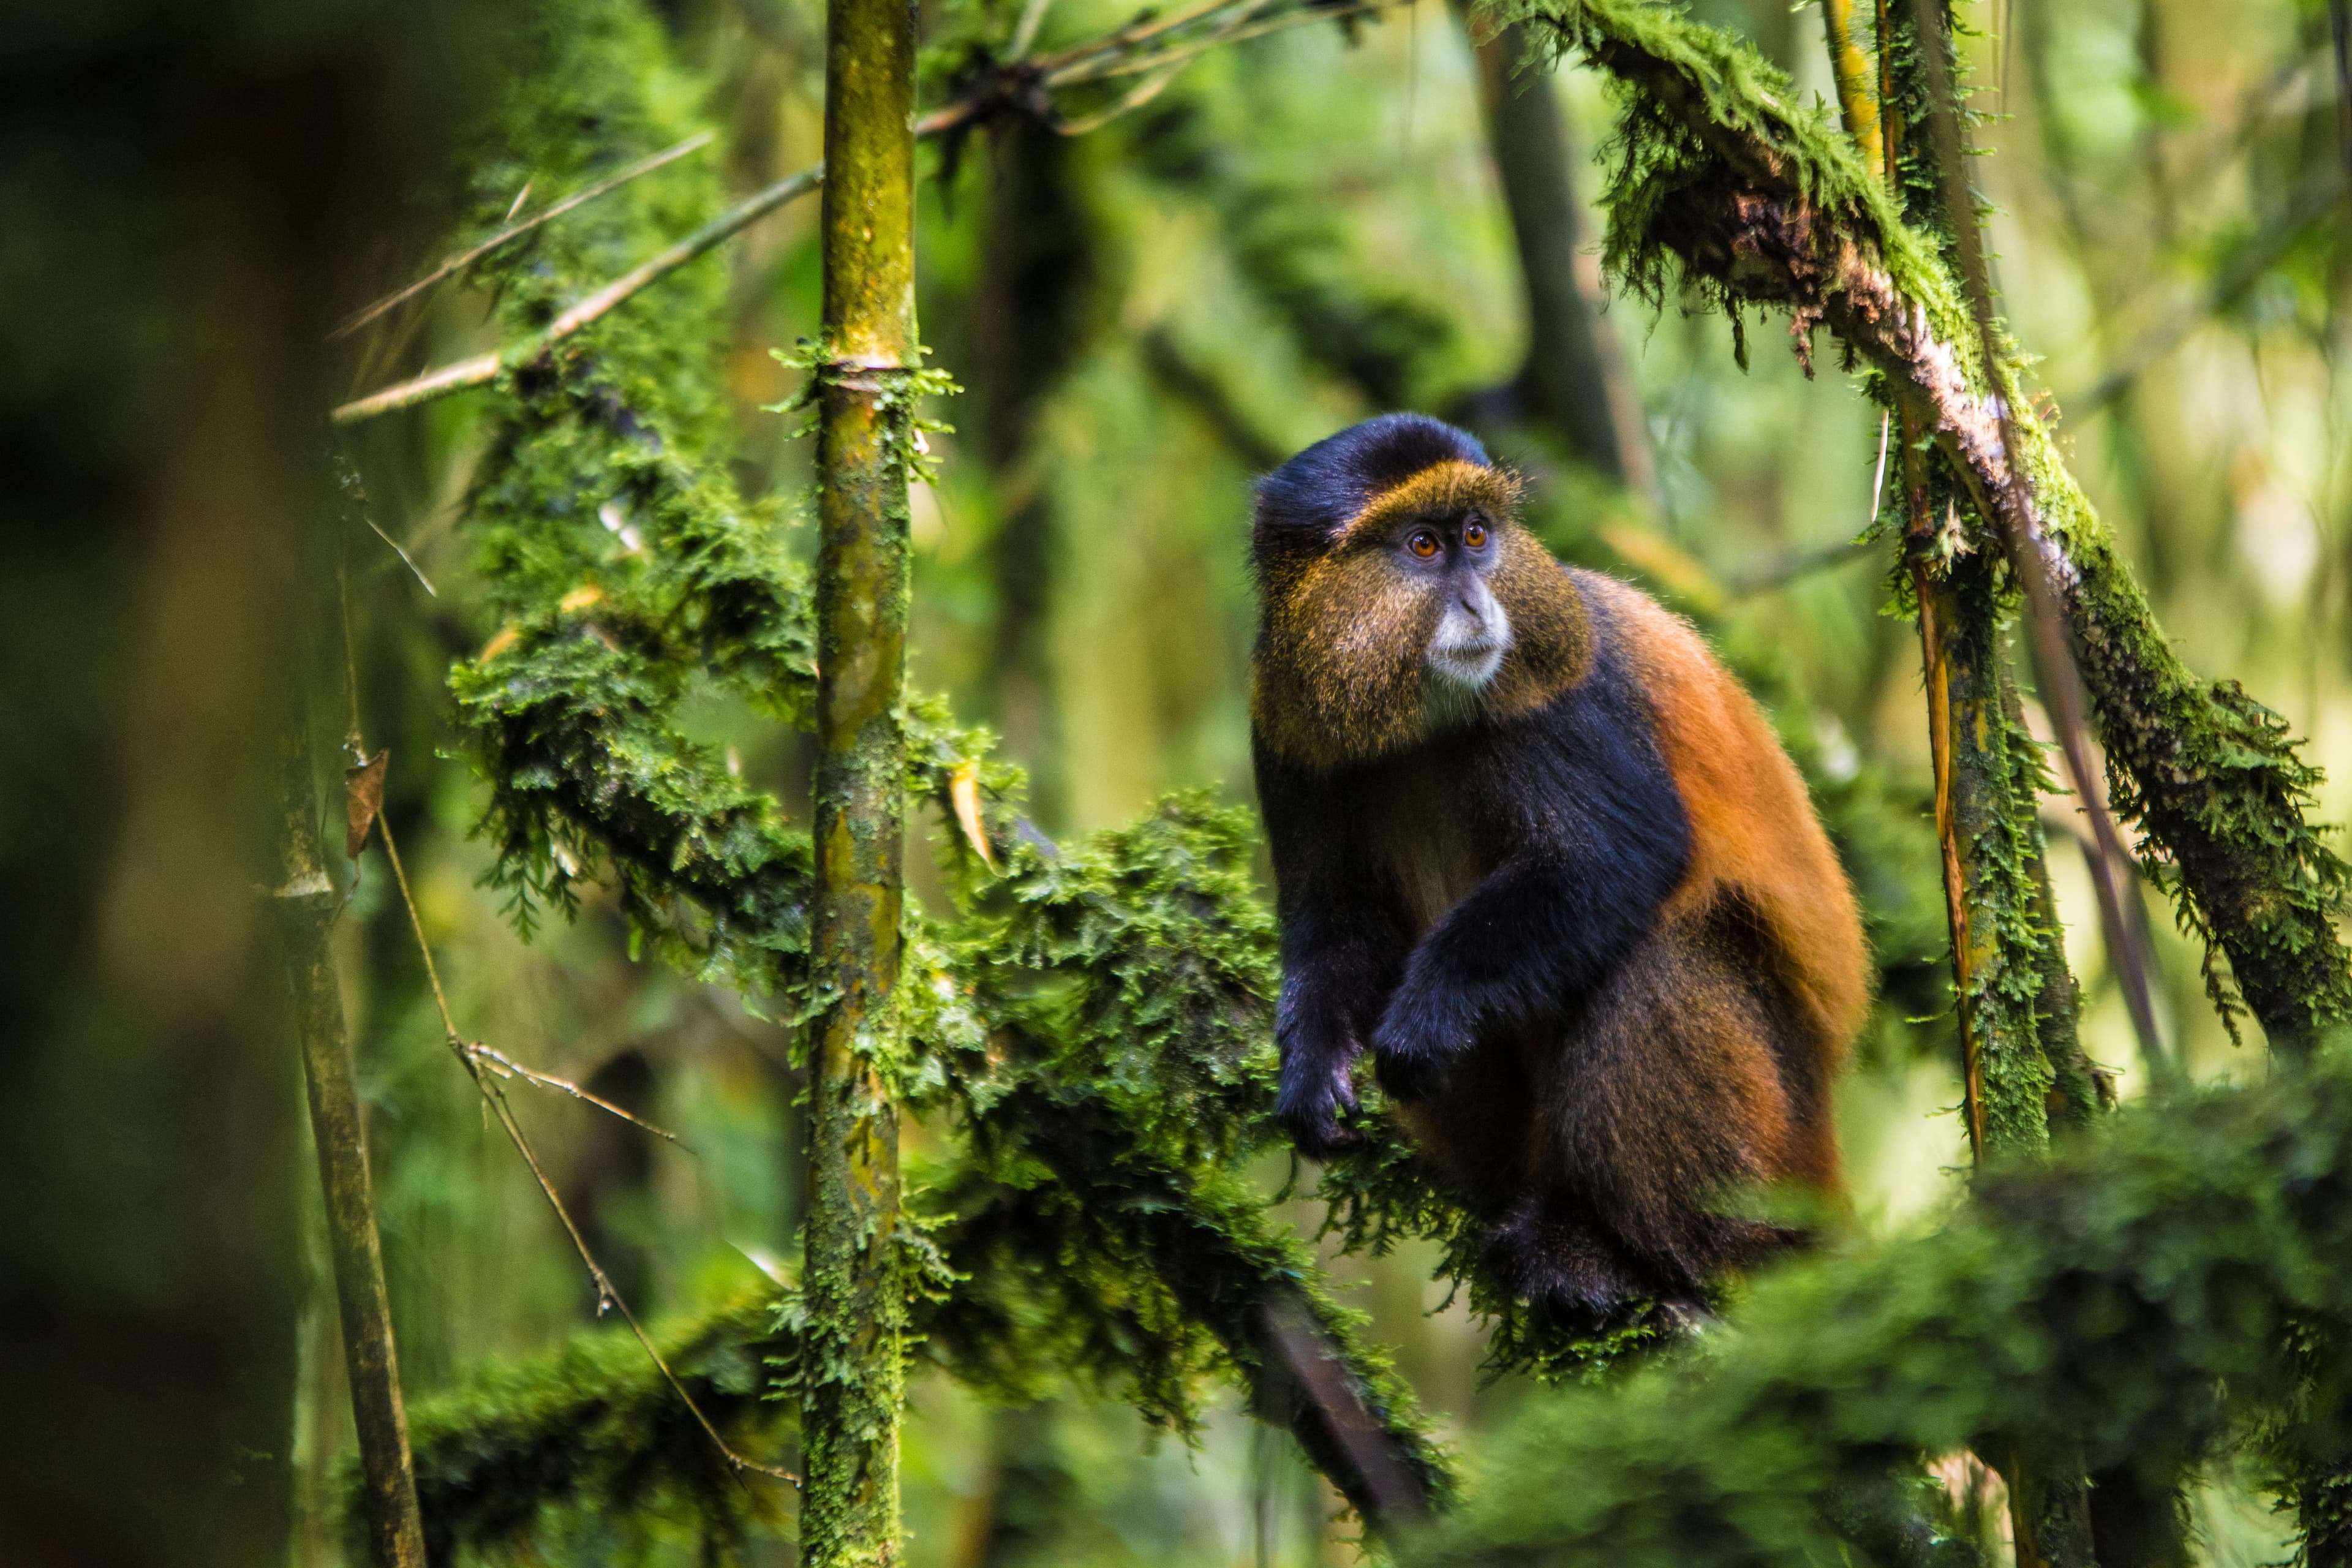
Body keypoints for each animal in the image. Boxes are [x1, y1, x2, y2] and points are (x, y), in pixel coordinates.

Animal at [1248, 413, 1868, 1319]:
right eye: (1423, 546)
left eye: (1477, 535)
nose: (1479, 602)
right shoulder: (1286, 728)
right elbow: (1337, 922)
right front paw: (1312, 1065)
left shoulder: (1554, 694)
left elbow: (1613, 857)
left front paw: (1428, 1014)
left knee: (1656, 957)